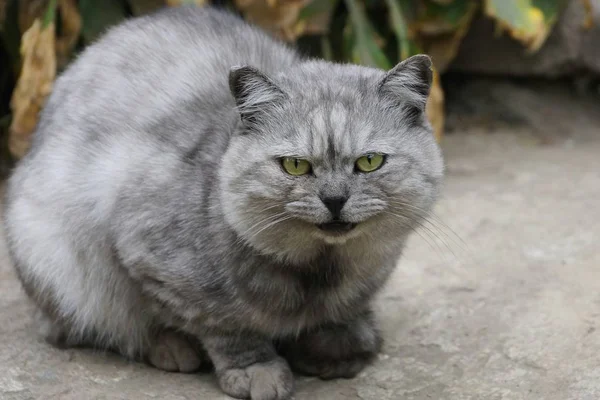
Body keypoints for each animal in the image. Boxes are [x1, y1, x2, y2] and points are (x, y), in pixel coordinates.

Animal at [2, 4, 442, 398]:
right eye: (295, 165)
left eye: (369, 161)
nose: (334, 199)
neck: (320, 269)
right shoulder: (149, 256)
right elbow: (226, 325)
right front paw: (256, 369)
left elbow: (346, 317)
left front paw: (339, 345)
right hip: (54, 255)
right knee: (97, 327)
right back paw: (171, 348)